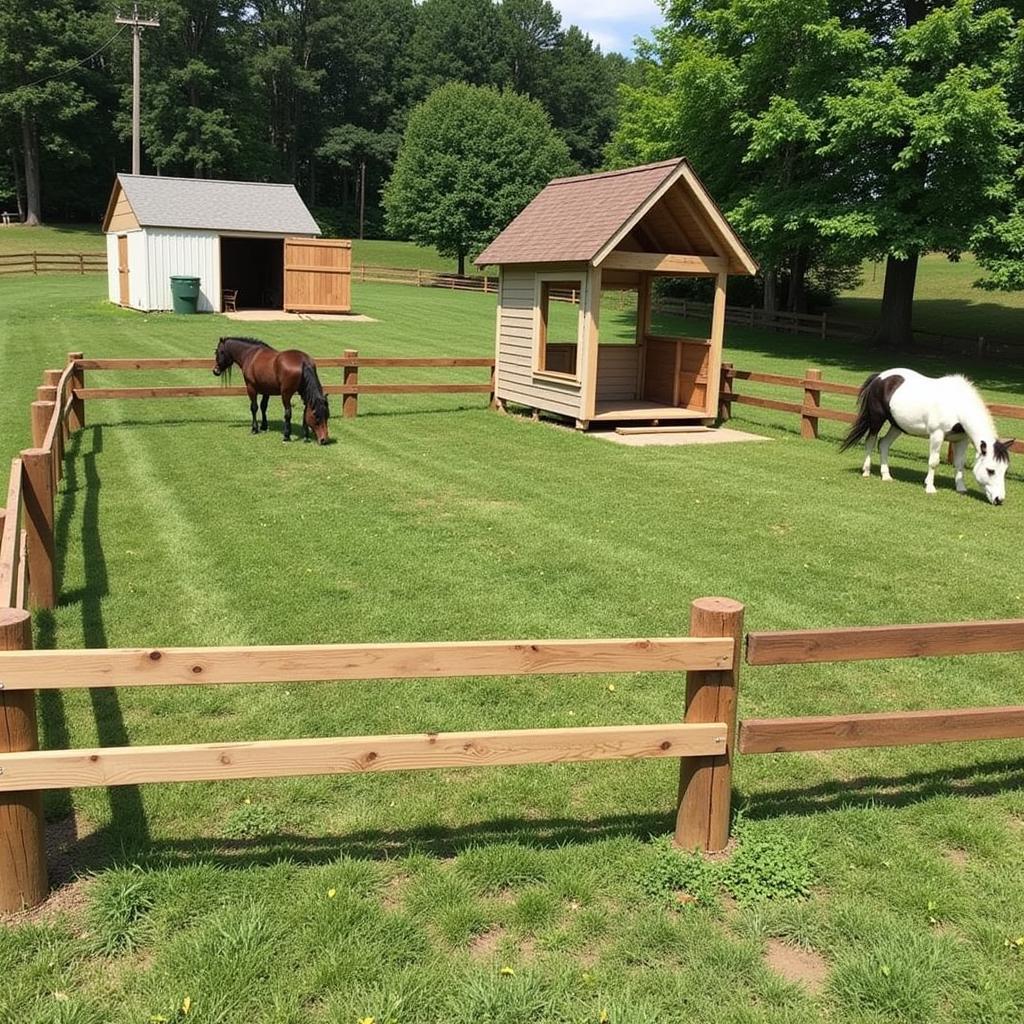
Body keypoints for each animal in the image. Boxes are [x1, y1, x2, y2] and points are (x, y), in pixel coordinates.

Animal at [839, 372, 1015, 507]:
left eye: (1005, 470)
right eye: (990, 470)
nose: (999, 499)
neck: (956, 405)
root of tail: (879, 377)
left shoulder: (961, 440)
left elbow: (959, 464)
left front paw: (961, 487)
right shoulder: (937, 435)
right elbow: (934, 462)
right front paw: (930, 487)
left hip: (897, 426)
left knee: (883, 444)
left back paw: (886, 476)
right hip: (877, 419)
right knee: (870, 441)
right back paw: (866, 471)